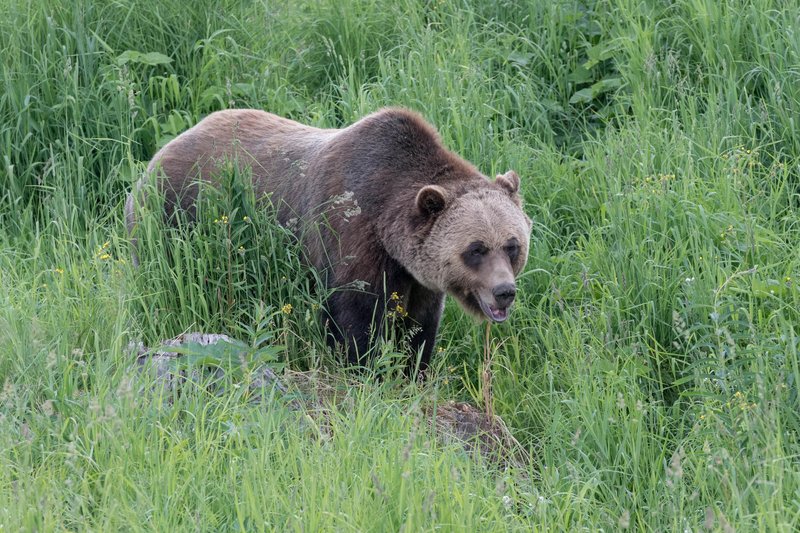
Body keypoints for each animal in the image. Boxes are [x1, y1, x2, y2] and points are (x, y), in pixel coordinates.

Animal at [126, 109, 532, 370]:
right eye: (476, 249)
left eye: (512, 246)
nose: (504, 291)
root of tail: (156, 156)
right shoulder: (349, 236)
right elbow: (354, 319)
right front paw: (365, 368)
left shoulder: (418, 278)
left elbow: (418, 328)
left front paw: (411, 370)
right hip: (174, 216)